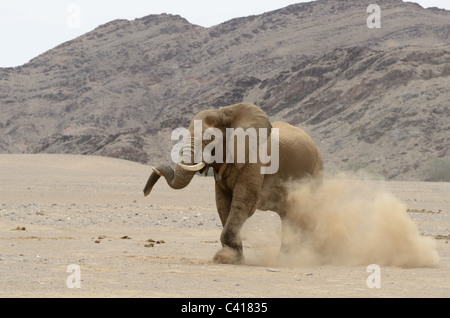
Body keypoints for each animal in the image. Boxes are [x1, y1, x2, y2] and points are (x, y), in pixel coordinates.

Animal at [142, 103, 322, 264]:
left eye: (211, 138)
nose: (145, 192)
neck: (227, 113)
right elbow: (222, 203)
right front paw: (232, 257)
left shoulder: (256, 159)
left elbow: (244, 201)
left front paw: (225, 258)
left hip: (316, 170)